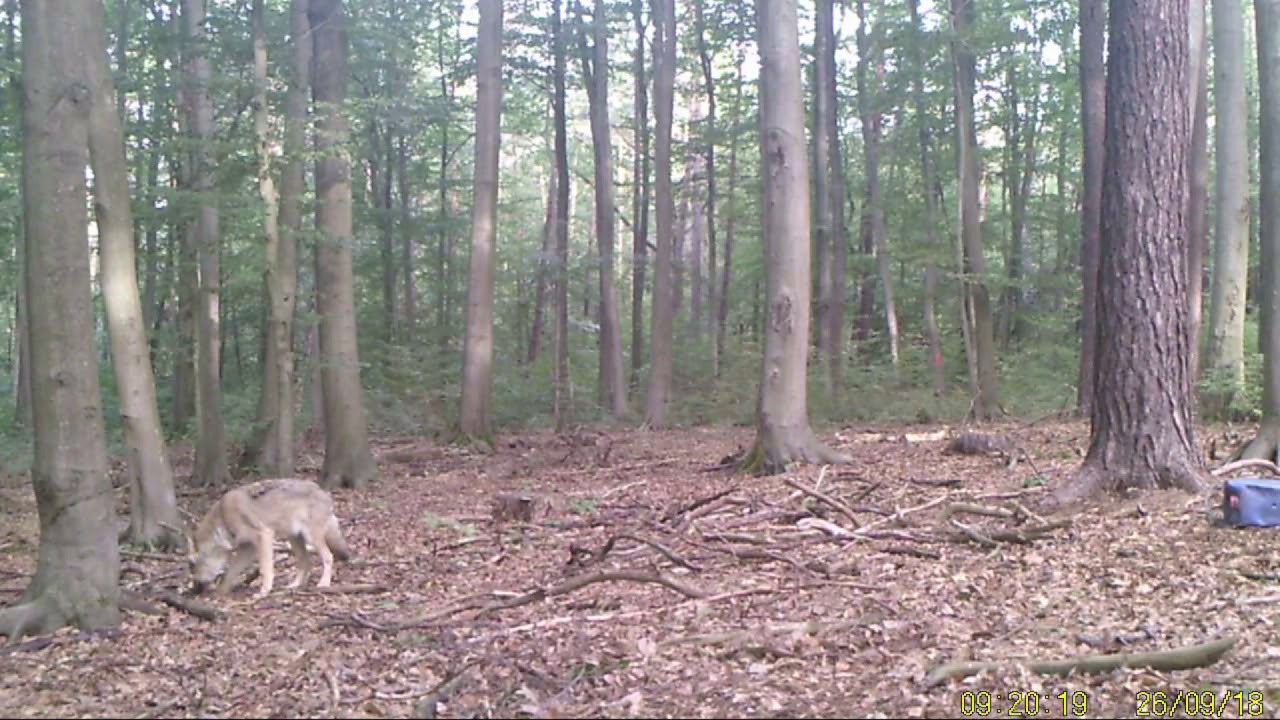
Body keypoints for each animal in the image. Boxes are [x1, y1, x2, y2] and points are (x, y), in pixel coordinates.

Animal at [182, 478, 353, 599]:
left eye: (191, 565)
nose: (194, 590)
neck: (223, 519)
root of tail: (323, 491)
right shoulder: (248, 548)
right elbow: (231, 571)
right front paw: (221, 591)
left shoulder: (263, 536)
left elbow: (265, 569)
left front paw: (263, 592)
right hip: (294, 539)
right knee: (306, 563)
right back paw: (293, 585)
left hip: (311, 538)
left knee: (329, 556)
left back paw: (324, 583)